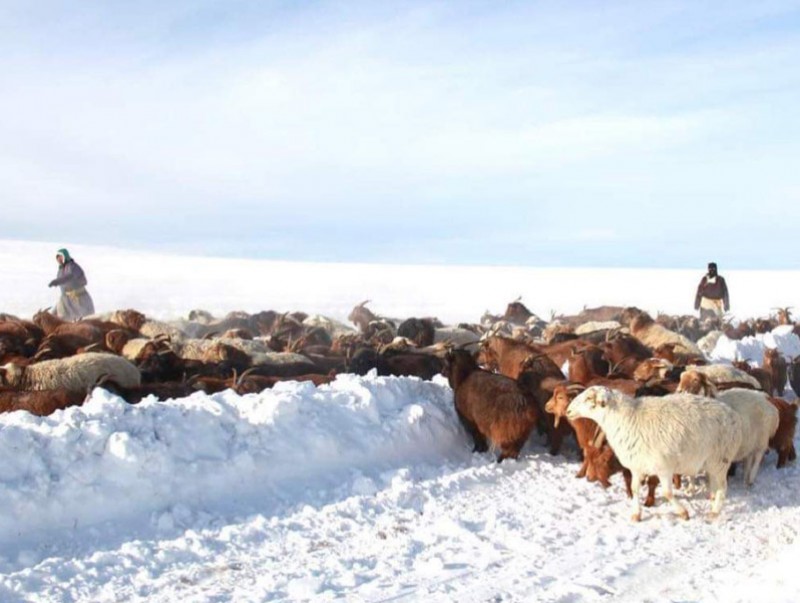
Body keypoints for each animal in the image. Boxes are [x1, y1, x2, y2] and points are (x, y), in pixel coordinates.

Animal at [564, 390, 740, 520]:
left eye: (588, 398)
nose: (568, 410)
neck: (627, 419)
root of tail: (731, 414)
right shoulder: (637, 467)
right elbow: (634, 489)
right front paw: (636, 514)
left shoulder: (664, 468)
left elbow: (667, 492)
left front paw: (683, 513)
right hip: (711, 463)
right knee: (715, 485)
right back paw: (713, 501)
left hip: (721, 460)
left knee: (723, 486)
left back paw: (715, 512)